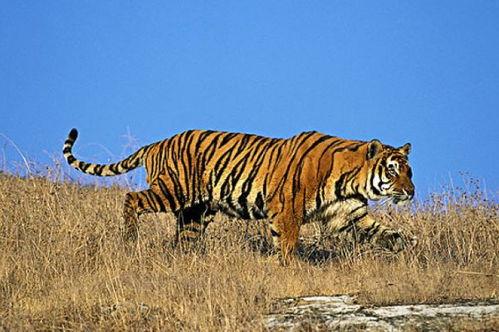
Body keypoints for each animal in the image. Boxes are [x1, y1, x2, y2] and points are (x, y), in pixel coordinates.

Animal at [64, 128, 416, 264]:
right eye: (392, 170)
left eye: (409, 171)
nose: (411, 192)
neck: (350, 181)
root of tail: (156, 143)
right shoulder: (286, 209)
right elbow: (287, 242)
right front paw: (290, 268)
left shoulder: (348, 216)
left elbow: (384, 232)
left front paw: (409, 248)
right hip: (172, 191)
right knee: (131, 199)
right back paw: (129, 239)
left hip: (195, 213)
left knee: (183, 241)